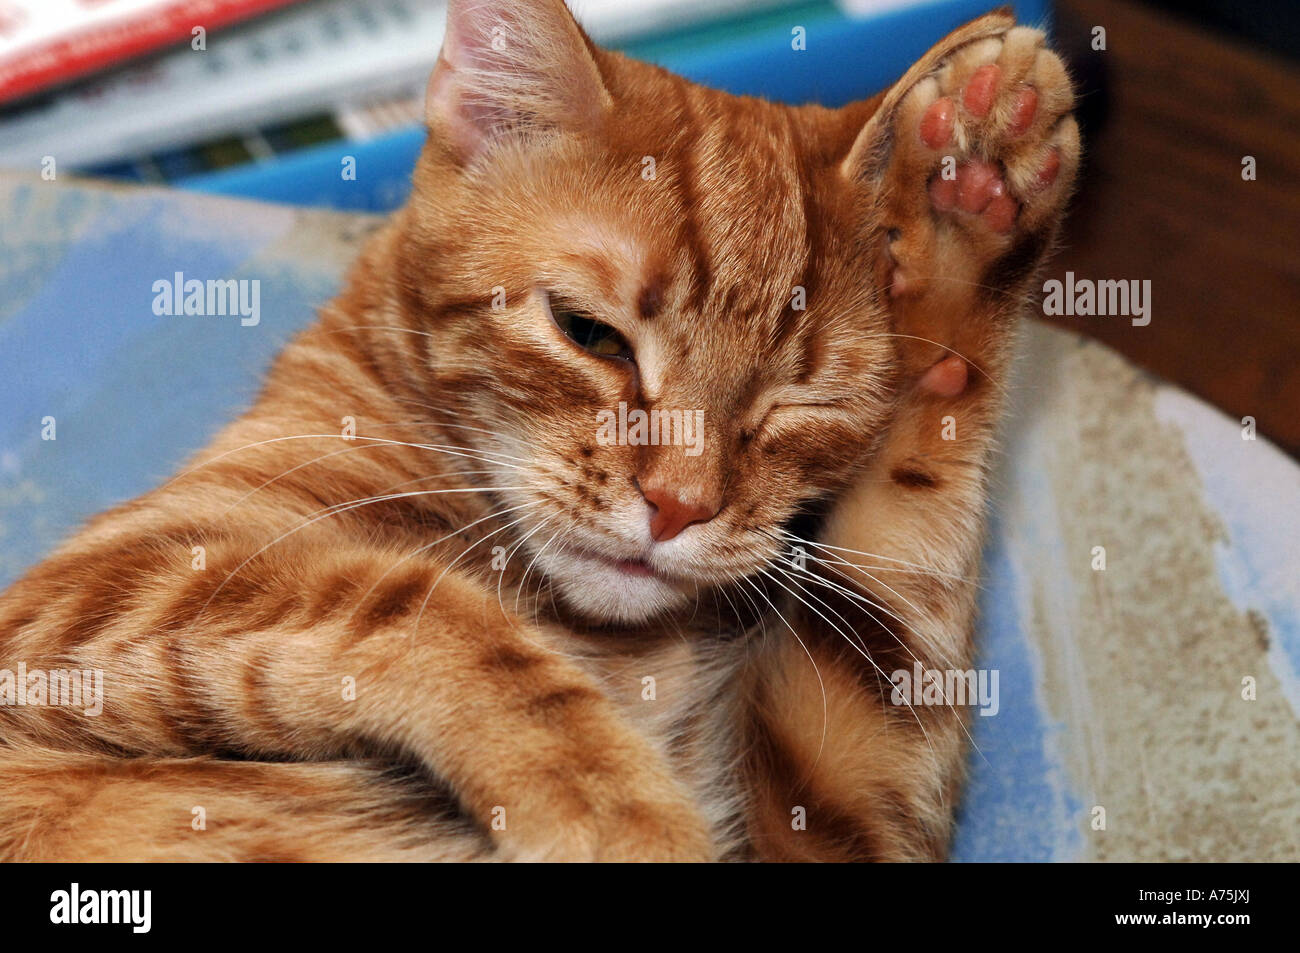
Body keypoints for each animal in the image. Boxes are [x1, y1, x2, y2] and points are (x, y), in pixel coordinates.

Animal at [0, 1, 1076, 863]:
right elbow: (429, 612)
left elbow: (911, 542)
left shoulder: (825, 812)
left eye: (800, 402)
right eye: (588, 332)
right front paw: (620, 810)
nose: (678, 506)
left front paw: (969, 206)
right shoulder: (105, 586)